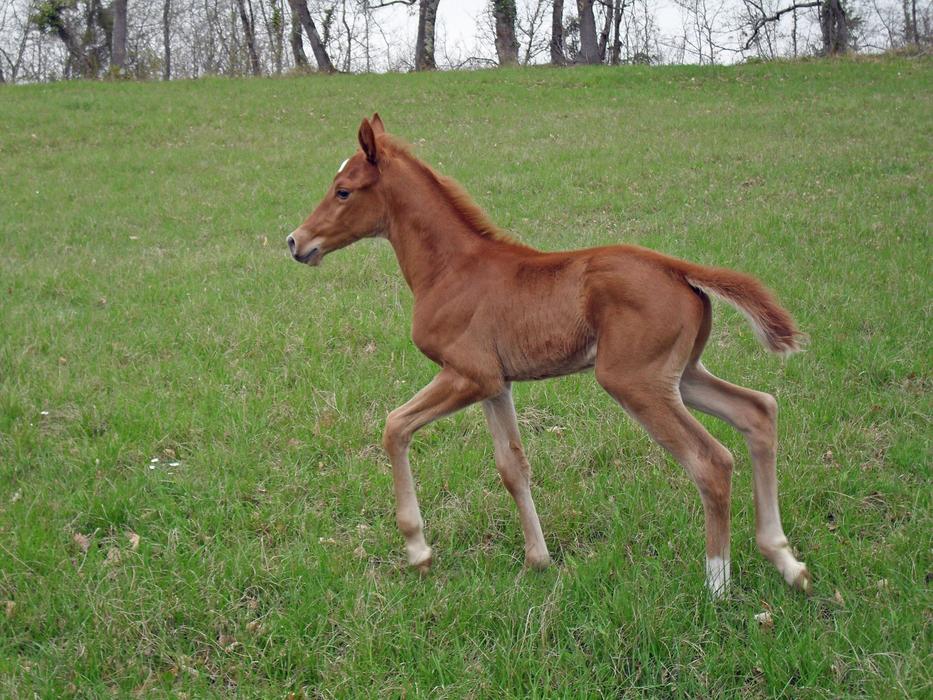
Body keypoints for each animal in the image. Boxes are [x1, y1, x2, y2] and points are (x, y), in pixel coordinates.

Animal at [286, 114, 811, 597]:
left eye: (343, 191)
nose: (296, 242)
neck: (451, 269)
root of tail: (677, 268)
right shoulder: (496, 385)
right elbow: (512, 467)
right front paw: (538, 560)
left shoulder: (467, 375)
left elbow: (394, 426)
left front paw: (418, 551)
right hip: (681, 375)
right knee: (758, 410)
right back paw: (787, 562)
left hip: (635, 381)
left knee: (711, 461)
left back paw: (717, 585)